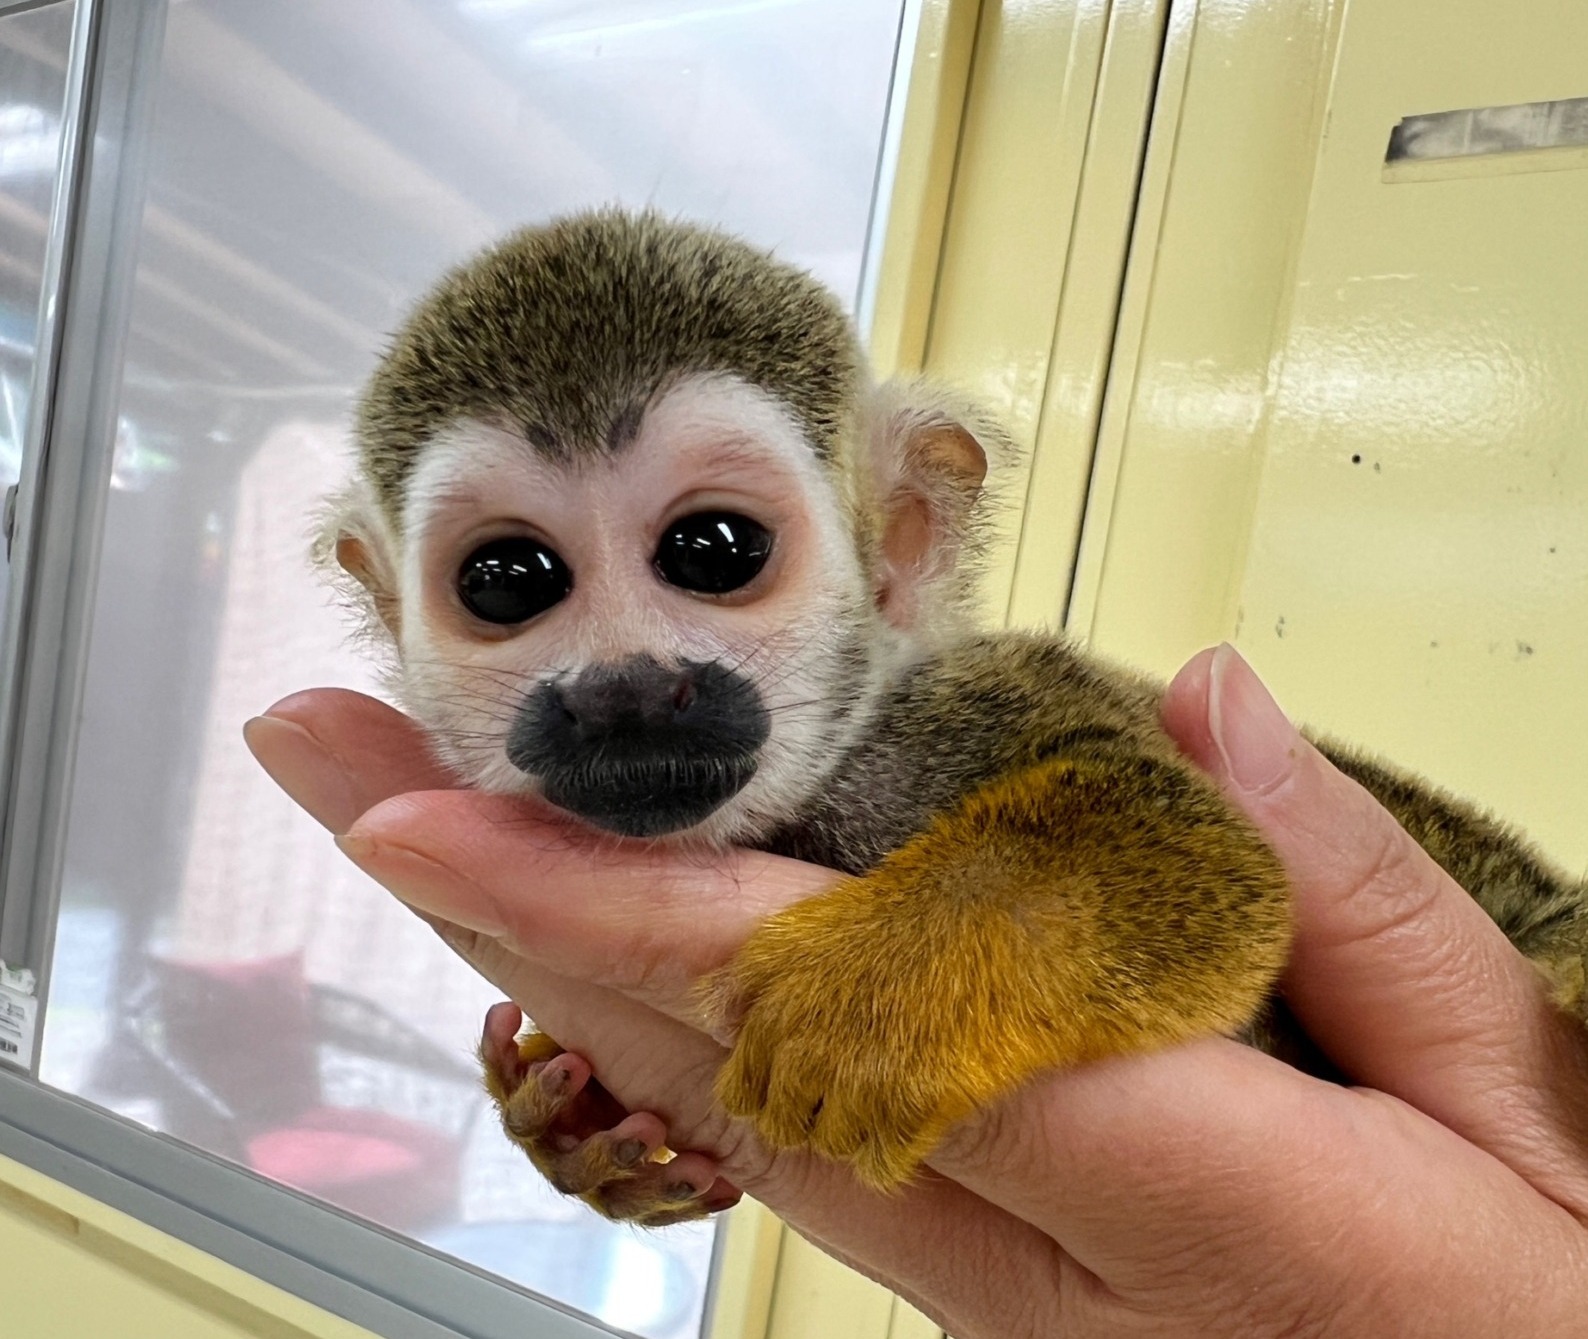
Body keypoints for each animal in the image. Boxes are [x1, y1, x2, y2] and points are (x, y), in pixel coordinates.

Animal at [322, 208, 1588, 1228]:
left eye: (713, 550)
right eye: (507, 580)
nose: (622, 690)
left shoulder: (954, 711)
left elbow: (1207, 848)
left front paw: (885, 993)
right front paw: (581, 1134)